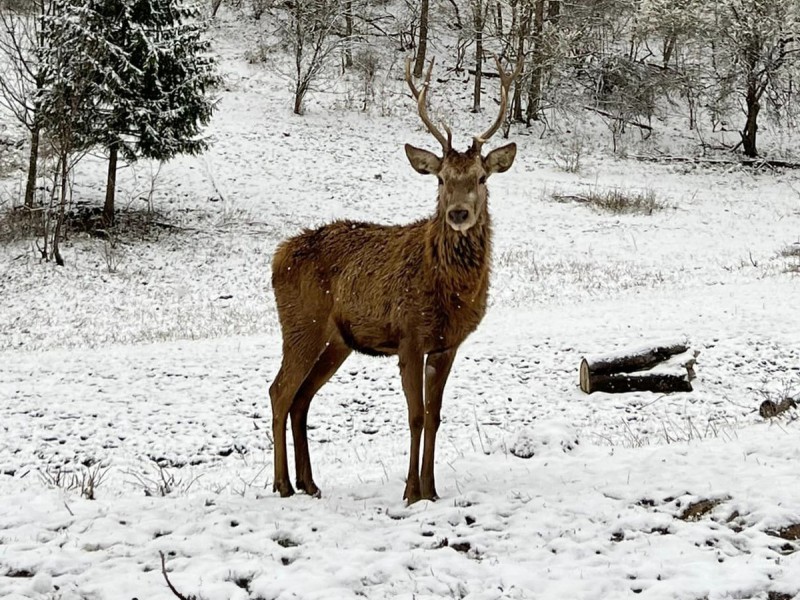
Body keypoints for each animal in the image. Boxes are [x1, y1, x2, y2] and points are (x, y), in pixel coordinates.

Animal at [269, 56, 519, 504]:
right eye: (441, 178)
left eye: (481, 178)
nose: (458, 213)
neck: (449, 292)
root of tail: (277, 256)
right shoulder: (409, 335)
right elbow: (415, 415)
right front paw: (411, 491)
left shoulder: (446, 345)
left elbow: (435, 416)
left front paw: (432, 489)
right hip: (300, 325)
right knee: (279, 392)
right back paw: (282, 484)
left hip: (337, 341)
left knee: (301, 399)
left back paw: (309, 483)